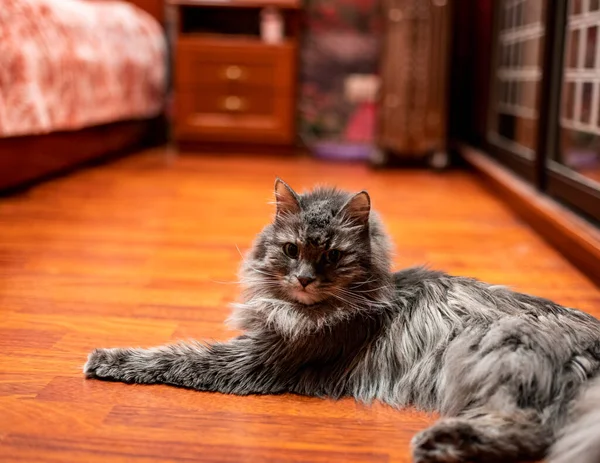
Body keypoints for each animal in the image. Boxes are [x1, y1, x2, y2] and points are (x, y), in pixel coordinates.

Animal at [84, 179, 600, 462]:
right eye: (292, 249)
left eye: (331, 255)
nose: (305, 279)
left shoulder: (257, 358)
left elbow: (176, 356)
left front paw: (106, 358)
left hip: (498, 354)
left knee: (528, 429)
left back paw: (437, 444)